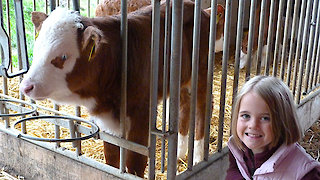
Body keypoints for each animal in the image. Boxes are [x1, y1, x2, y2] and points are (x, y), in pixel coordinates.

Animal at [19, 0, 210, 177]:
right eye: (36, 48)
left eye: (63, 56)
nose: (26, 86)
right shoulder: (106, 120)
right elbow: (111, 156)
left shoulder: (141, 114)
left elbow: (135, 161)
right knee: (184, 106)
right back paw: (180, 152)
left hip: (201, 73)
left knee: (202, 107)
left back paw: (198, 156)